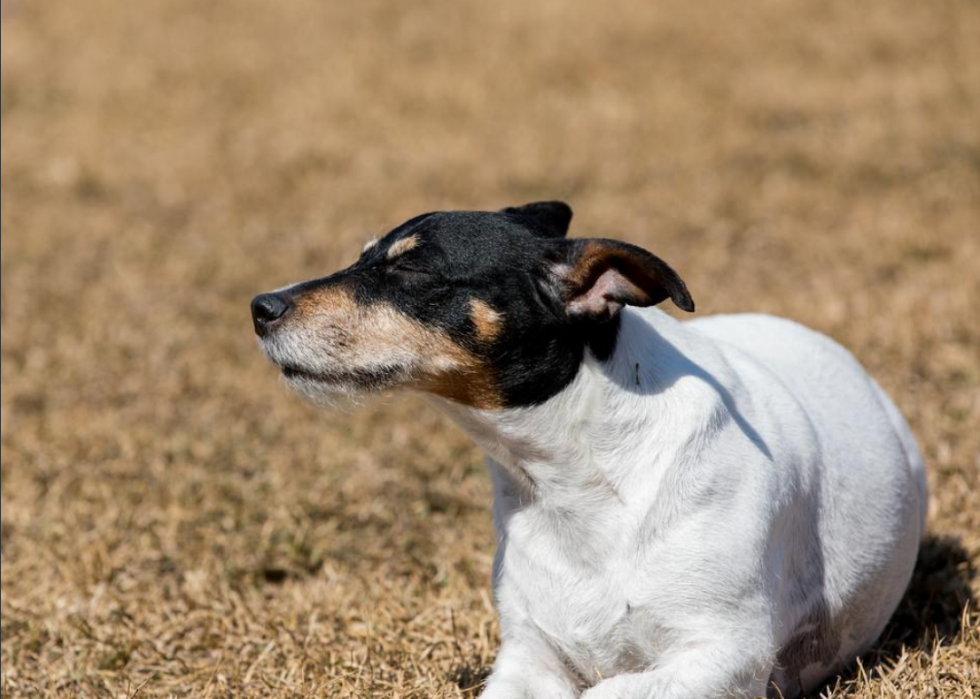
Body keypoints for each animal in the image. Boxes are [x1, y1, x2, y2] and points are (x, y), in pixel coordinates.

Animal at [251, 202, 928, 699]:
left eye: (410, 270)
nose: (260, 306)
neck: (584, 485)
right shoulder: (527, 656)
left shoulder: (723, 657)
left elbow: (607, 692)